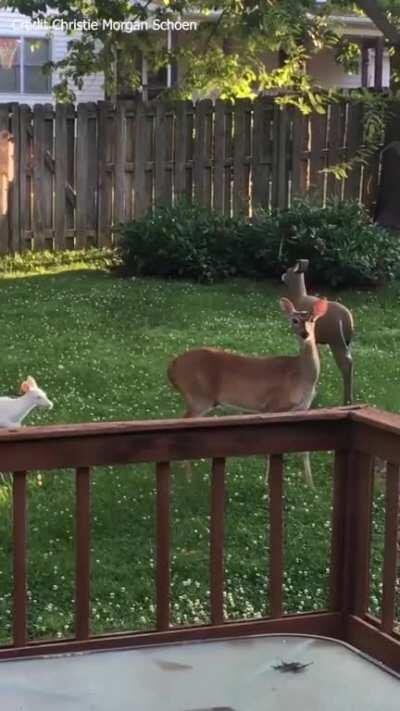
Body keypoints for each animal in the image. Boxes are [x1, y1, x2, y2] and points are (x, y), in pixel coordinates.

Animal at [168, 297, 329, 488]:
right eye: (294, 320)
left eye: (312, 320)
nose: (305, 334)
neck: (302, 376)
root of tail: (172, 366)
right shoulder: (273, 406)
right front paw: (267, 482)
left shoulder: (303, 409)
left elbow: (304, 450)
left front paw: (311, 485)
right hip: (198, 397)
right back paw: (188, 479)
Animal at [282, 259, 354, 405]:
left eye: (288, 270)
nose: (282, 275)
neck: (299, 297)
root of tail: (347, 320)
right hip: (345, 342)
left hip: (336, 340)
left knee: (346, 363)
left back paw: (346, 401)